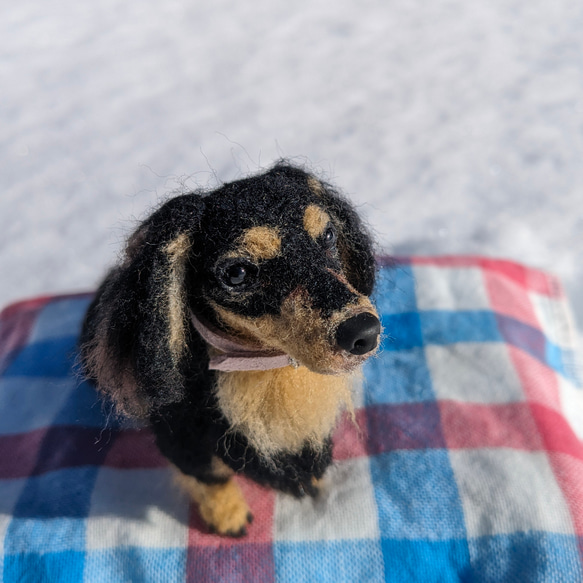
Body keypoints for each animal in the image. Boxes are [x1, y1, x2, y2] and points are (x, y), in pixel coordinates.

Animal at [80, 162, 380, 536]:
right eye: (237, 273)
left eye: (327, 236)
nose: (365, 332)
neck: (260, 365)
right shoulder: (182, 438)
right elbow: (211, 479)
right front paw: (228, 516)